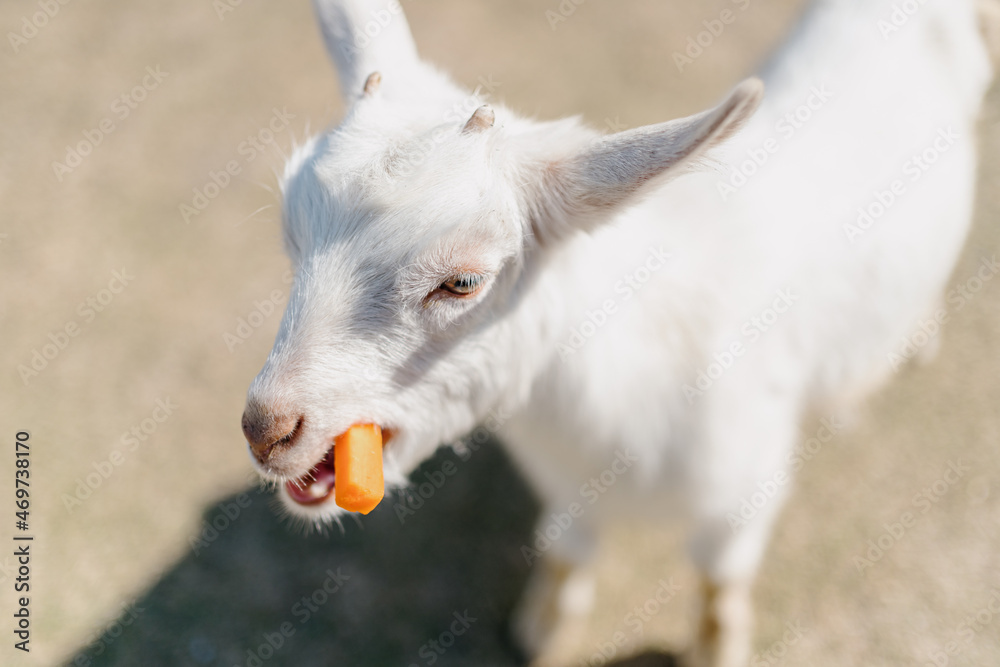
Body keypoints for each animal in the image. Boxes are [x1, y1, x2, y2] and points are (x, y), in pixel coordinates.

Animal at [240, 1, 997, 664]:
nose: (267, 427)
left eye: (462, 282)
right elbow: (570, 546)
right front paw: (545, 625)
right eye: (290, 229)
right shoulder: (564, 482)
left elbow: (719, 576)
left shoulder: (745, 487)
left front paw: (717, 648)